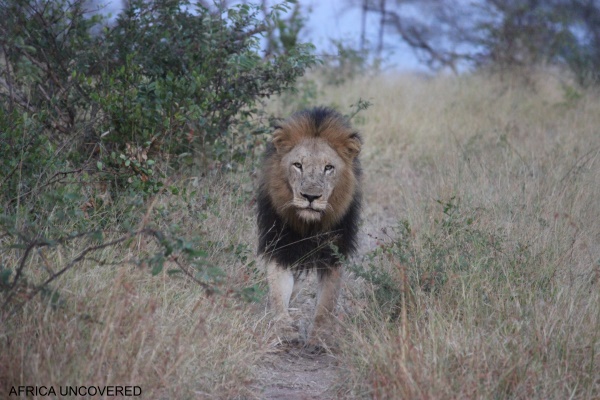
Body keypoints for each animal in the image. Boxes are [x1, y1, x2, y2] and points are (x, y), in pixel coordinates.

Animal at [256, 107, 360, 350]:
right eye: (298, 165)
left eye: (328, 168)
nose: (310, 197)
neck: (309, 224)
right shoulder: (279, 248)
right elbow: (278, 292)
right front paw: (285, 330)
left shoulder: (333, 255)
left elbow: (326, 302)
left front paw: (319, 337)